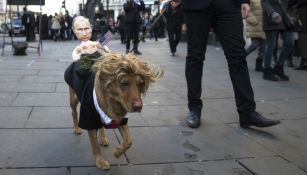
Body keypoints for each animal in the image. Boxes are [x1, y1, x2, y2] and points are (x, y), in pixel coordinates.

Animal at [64, 40, 164, 170]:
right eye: (124, 84)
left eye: (141, 84)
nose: (138, 107)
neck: (113, 102)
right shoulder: (89, 119)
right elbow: (95, 145)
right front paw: (100, 161)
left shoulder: (121, 119)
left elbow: (128, 141)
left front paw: (117, 152)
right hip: (74, 99)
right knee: (74, 113)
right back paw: (76, 128)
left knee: (100, 126)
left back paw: (103, 138)